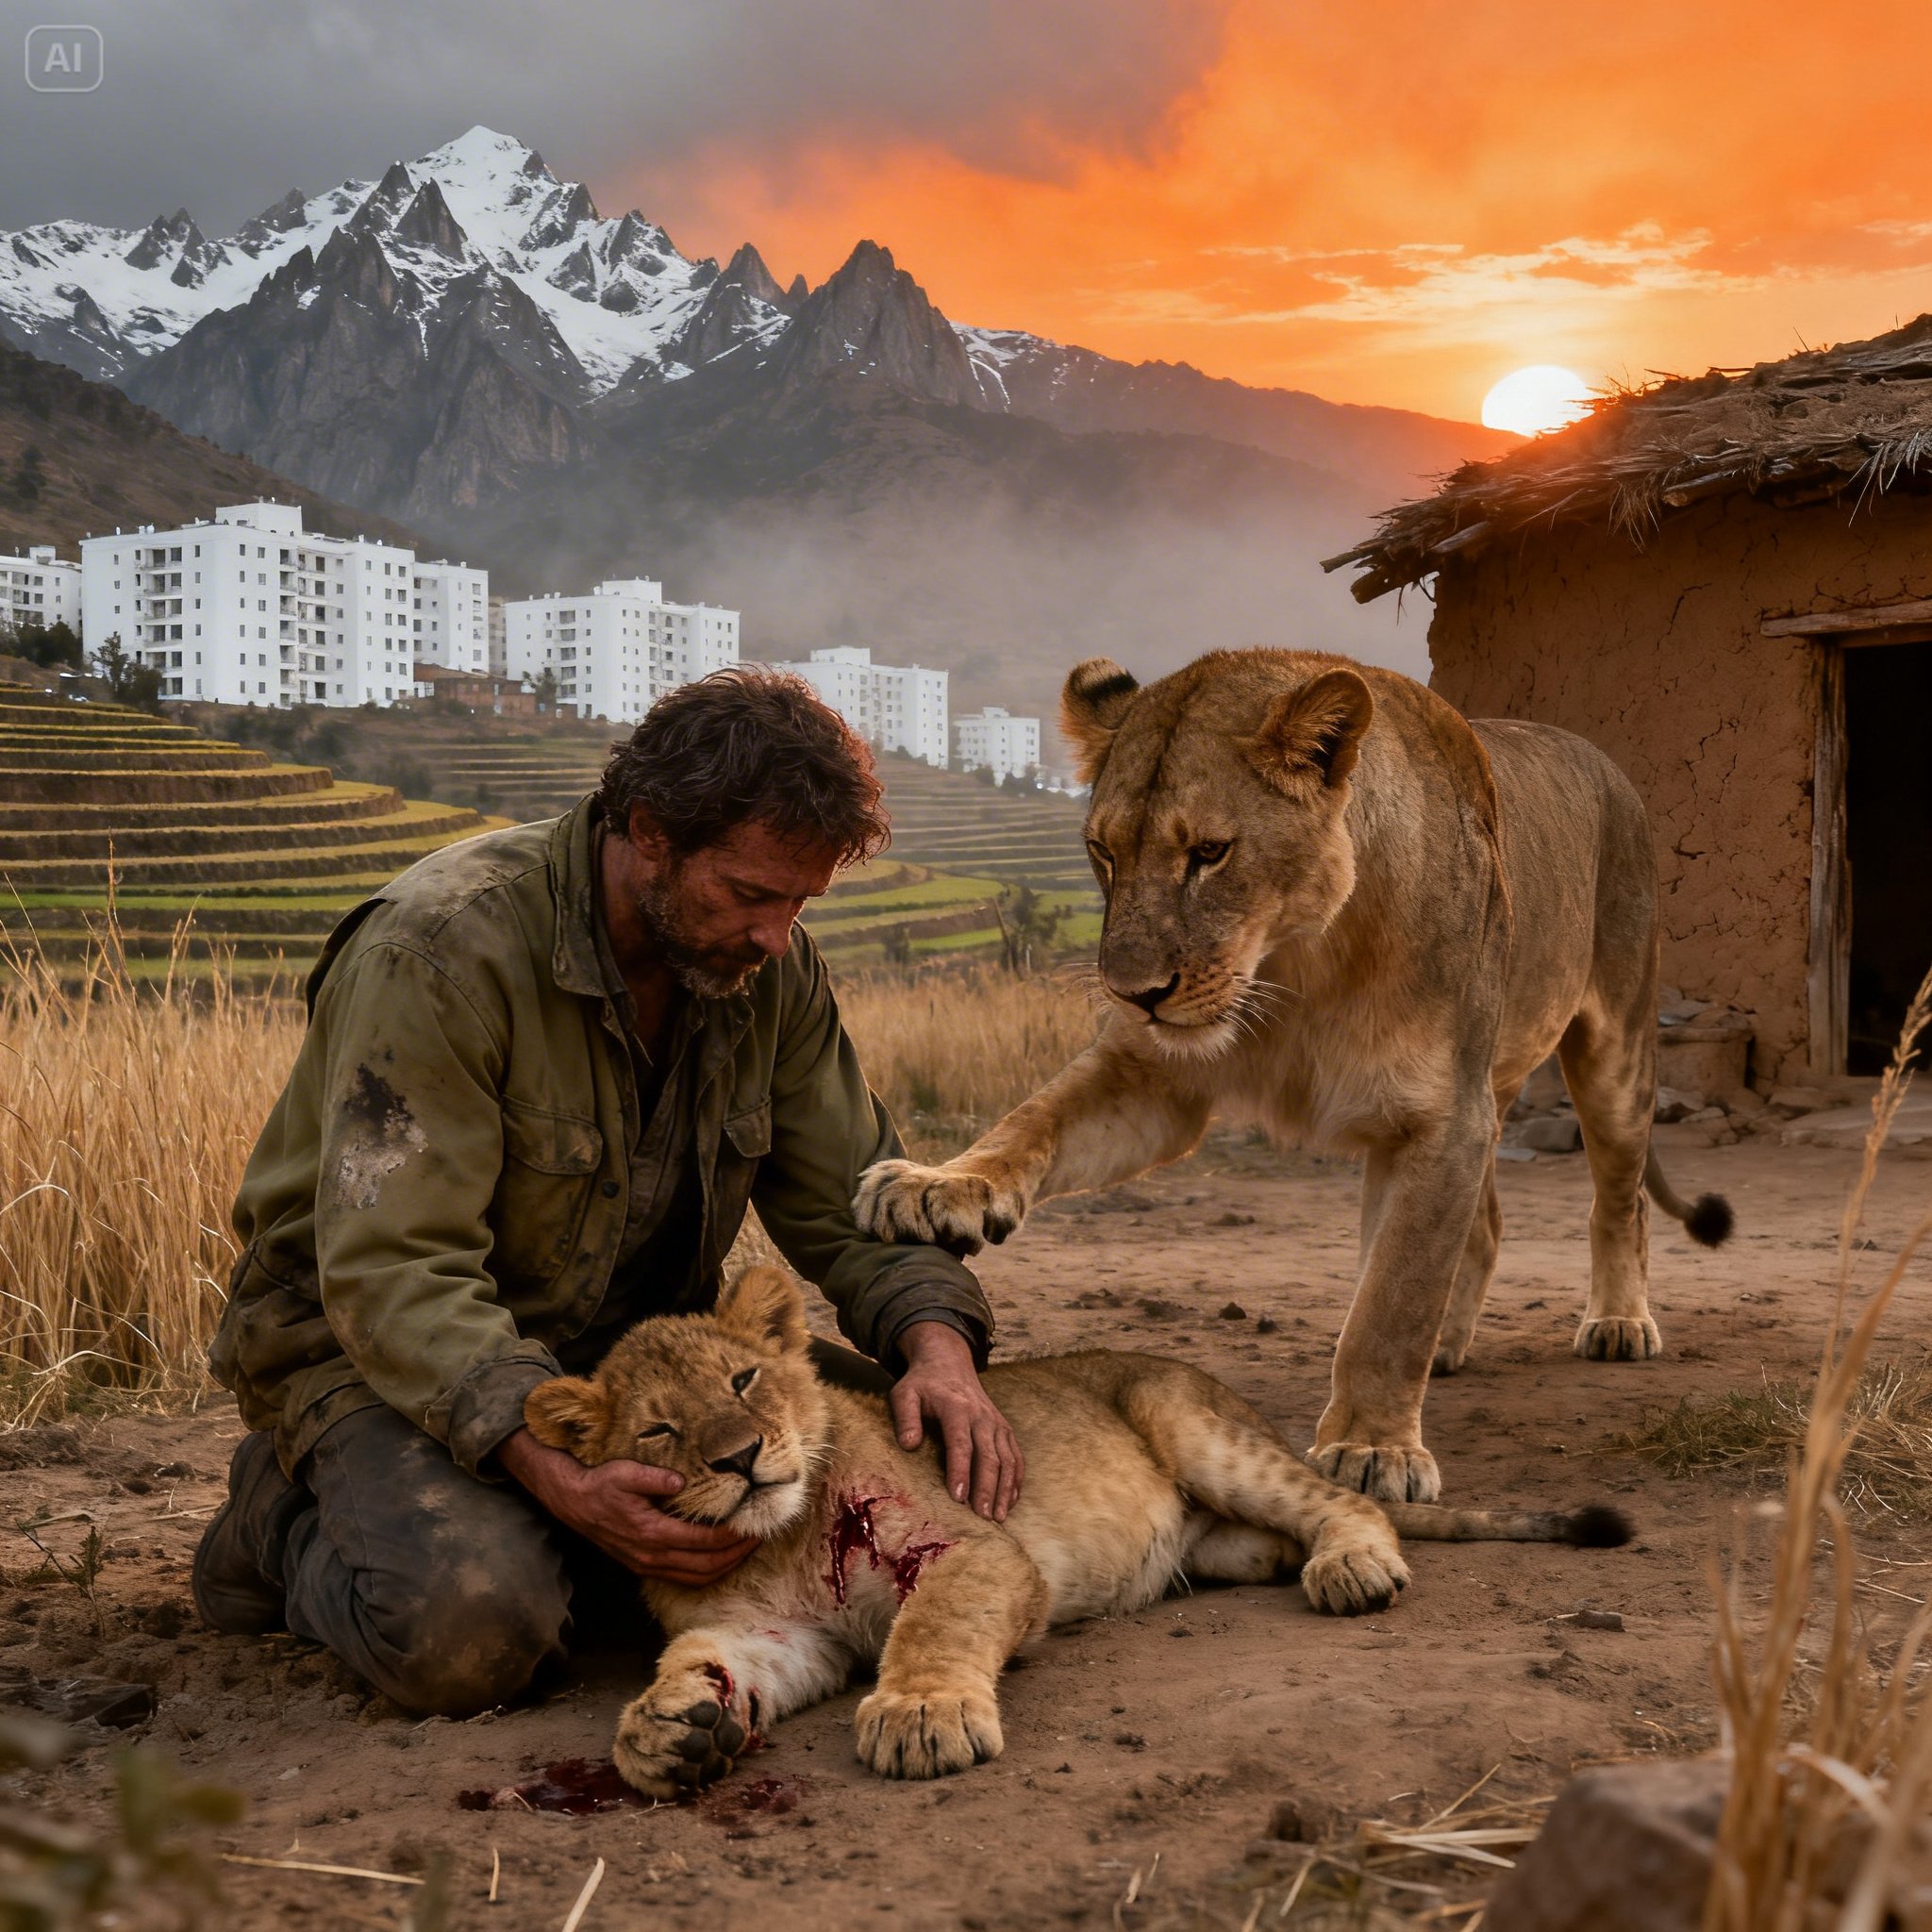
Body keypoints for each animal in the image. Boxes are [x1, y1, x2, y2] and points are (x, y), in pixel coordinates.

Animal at [523, 1265, 1629, 1793]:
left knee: (1345, 1499)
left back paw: (1350, 1565)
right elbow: (699, 1663)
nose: (740, 1457)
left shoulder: (977, 1549)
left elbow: (933, 1626)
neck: (784, 1534)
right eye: (660, 1430)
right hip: (1217, 1528)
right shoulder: (773, 1633)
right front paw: (661, 1731)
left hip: (1193, 1423)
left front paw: (919, 1715)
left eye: (743, 1380)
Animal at [854, 649, 1731, 1505]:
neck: (1299, 963)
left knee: (1619, 1200)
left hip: (1613, 1050)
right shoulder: (1154, 1075)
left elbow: (1392, 1300)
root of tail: (1599, 756)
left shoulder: (1442, 1115)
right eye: (1105, 852)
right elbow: (1034, 1118)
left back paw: (1617, 1324)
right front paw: (939, 1184)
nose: (1132, 994)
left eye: (1209, 853)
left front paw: (1374, 1447)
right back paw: (1450, 1343)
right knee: (1481, 1221)